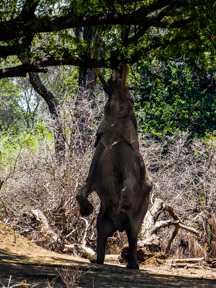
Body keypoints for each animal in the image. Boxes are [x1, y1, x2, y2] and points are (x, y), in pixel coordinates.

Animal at [76, 66, 152, 268]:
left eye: (132, 101)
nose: (115, 75)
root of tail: (118, 225)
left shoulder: (132, 161)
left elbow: (129, 183)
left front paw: (125, 204)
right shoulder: (98, 156)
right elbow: (85, 187)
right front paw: (86, 210)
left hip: (142, 209)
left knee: (133, 232)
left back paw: (132, 265)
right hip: (104, 216)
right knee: (101, 229)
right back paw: (95, 260)